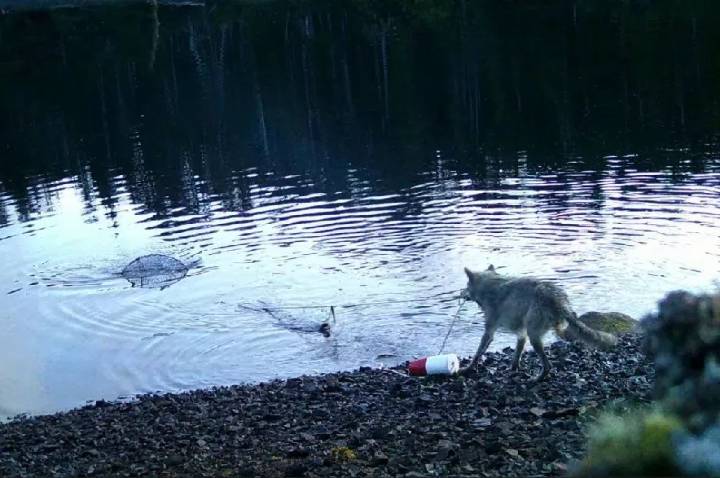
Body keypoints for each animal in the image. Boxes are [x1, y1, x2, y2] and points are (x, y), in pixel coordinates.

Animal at [461, 265, 618, 381]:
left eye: (466, 285)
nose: (461, 294)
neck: (489, 285)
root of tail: (559, 301)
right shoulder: (521, 332)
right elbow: (518, 350)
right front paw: (514, 367)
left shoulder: (490, 328)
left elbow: (479, 350)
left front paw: (469, 367)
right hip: (544, 329)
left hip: (534, 335)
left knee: (548, 365)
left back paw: (538, 378)